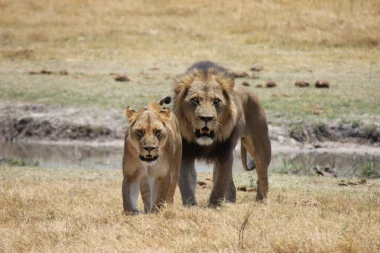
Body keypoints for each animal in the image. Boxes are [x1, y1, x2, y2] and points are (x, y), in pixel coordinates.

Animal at [172, 60, 270, 207]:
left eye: (216, 101)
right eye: (195, 100)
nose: (206, 118)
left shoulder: (224, 153)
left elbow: (219, 184)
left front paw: (213, 206)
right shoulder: (186, 154)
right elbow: (186, 183)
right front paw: (191, 205)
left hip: (261, 148)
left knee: (262, 176)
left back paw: (260, 201)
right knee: (232, 187)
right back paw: (231, 203)